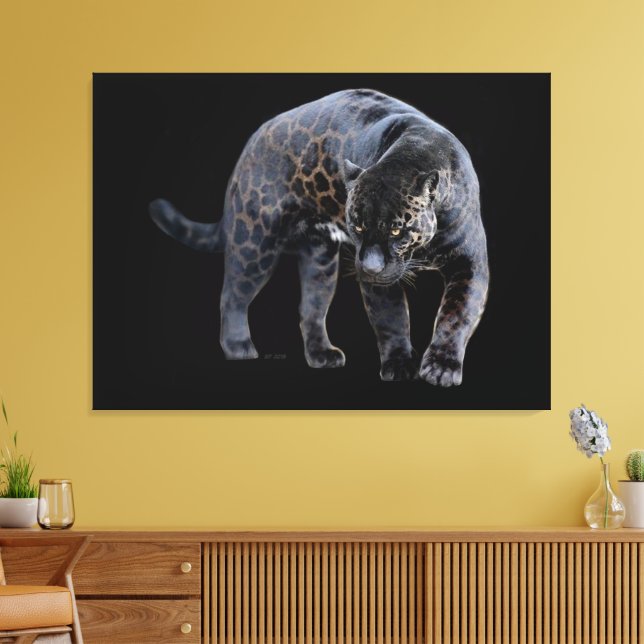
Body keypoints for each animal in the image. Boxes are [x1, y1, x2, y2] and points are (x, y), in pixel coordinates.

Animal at [149, 88, 489, 386]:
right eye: (358, 226)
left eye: (396, 230)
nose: (369, 267)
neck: (414, 151)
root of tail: (250, 145)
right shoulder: (380, 281)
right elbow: (391, 319)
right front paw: (399, 364)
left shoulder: (470, 262)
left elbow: (456, 314)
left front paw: (442, 367)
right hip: (255, 243)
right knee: (233, 294)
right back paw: (238, 347)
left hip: (320, 261)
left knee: (310, 309)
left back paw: (322, 354)